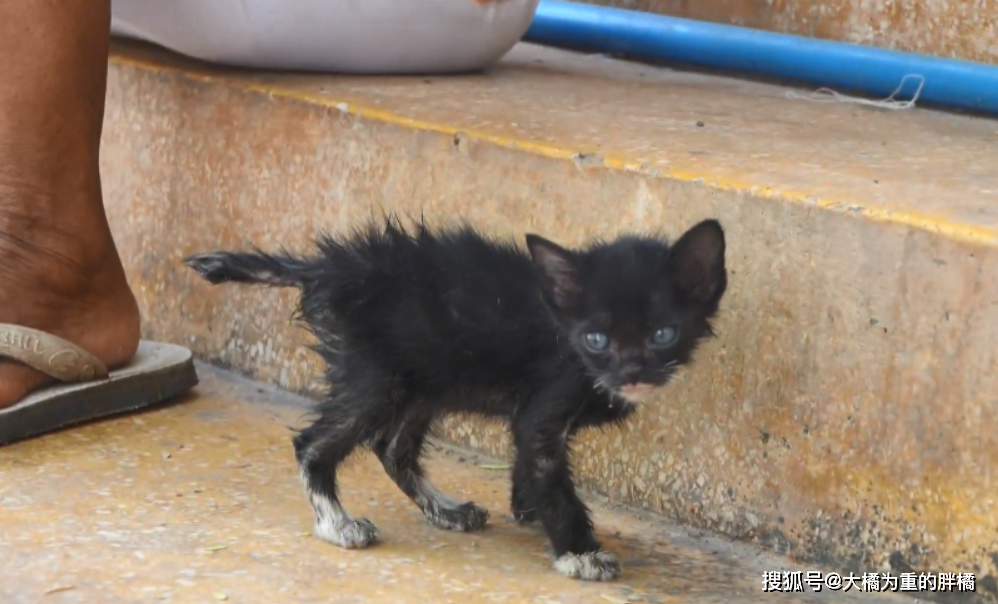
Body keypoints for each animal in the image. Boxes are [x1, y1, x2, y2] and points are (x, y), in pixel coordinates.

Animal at [184, 216, 728, 580]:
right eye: (596, 339)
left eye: (663, 333)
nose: (632, 372)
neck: (564, 329)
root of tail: (330, 267)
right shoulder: (548, 398)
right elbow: (552, 477)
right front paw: (578, 550)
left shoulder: (531, 416)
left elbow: (528, 459)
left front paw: (527, 507)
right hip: (374, 377)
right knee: (314, 444)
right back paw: (338, 524)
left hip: (424, 379)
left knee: (392, 448)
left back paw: (444, 511)